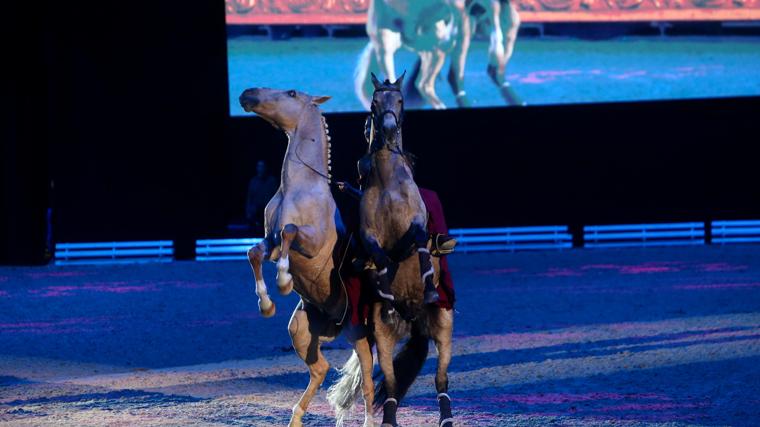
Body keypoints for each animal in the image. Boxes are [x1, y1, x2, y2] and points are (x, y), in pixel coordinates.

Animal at [330, 76, 454, 427]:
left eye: (399, 101)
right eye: (374, 102)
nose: (386, 128)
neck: (388, 185)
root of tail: (412, 320)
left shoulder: (417, 224)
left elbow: (420, 243)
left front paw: (427, 284)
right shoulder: (370, 237)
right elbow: (382, 257)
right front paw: (386, 292)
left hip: (443, 325)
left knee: (441, 379)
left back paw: (446, 418)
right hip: (384, 338)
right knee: (393, 381)